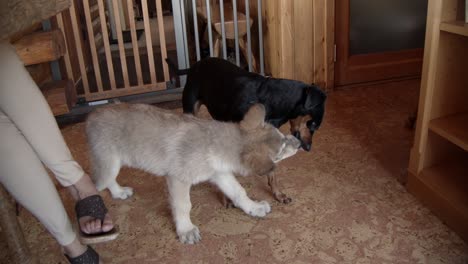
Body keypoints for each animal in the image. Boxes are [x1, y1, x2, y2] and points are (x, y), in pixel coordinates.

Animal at [167, 57, 326, 202]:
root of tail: (195, 64)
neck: (268, 102)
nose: (309, 148)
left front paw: (278, 193)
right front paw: (226, 197)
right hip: (190, 110)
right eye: (313, 125)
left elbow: (272, 171)